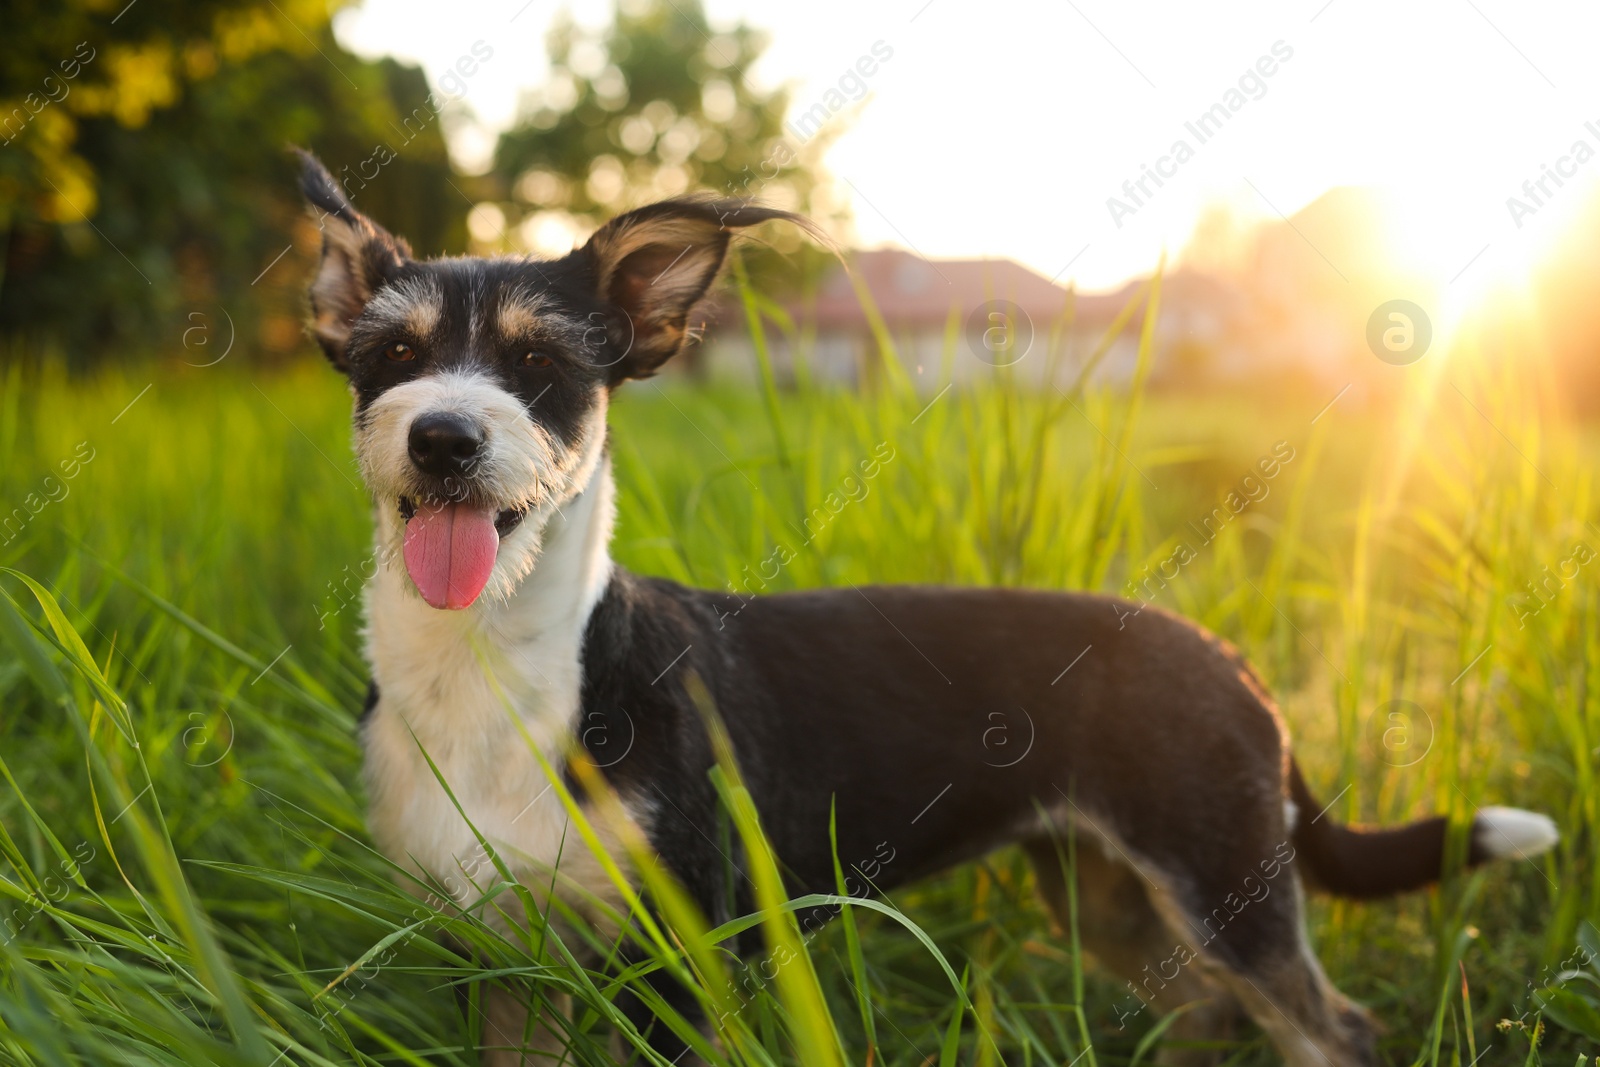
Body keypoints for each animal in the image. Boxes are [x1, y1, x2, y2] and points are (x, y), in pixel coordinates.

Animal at [294, 151, 1555, 1067]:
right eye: (390, 355)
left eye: (542, 366)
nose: (443, 436)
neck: (501, 667)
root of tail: (1228, 657)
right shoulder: (496, 954)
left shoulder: (682, 955)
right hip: (1105, 890)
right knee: (1206, 1009)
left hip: (1226, 875)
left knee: (1329, 1028)